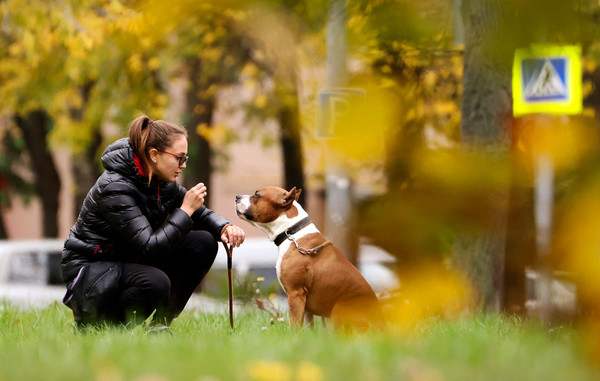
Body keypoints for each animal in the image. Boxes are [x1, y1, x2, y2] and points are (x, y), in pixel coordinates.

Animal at [234, 186, 380, 328]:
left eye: (257, 195)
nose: (237, 196)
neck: (291, 233)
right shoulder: (306, 304)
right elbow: (309, 327)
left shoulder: (296, 294)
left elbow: (295, 325)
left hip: (338, 309)